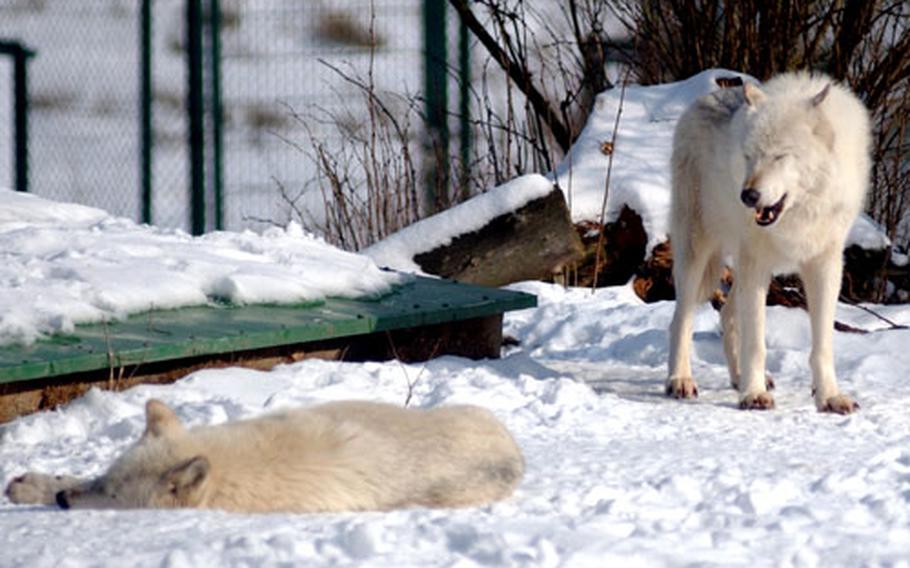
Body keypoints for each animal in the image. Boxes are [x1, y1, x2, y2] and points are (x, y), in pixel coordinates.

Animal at [668, 72, 876, 412]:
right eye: (749, 156)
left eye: (780, 155)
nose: (747, 196)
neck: (799, 216)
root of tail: (701, 100)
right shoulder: (756, 262)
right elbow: (756, 343)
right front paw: (753, 395)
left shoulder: (825, 264)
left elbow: (822, 345)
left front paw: (829, 397)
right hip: (697, 252)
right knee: (680, 320)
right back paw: (680, 380)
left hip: (745, 265)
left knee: (727, 314)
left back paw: (738, 377)